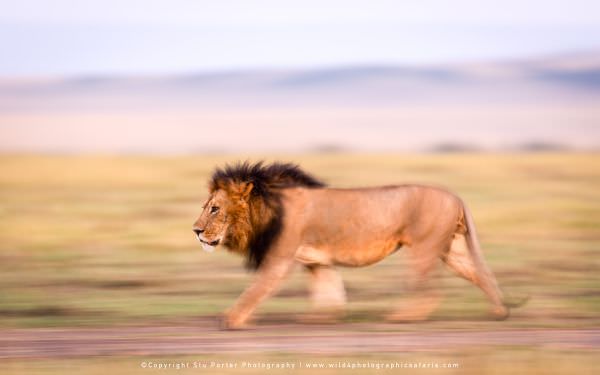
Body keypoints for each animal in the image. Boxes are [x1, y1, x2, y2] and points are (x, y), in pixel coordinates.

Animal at [192, 162, 516, 328]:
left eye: (215, 209)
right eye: (206, 206)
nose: (196, 231)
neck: (268, 206)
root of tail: (456, 196)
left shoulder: (280, 259)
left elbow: (255, 290)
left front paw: (231, 319)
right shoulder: (317, 261)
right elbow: (329, 289)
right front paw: (322, 317)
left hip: (424, 246)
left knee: (429, 289)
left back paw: (404, 316)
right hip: (452, 248)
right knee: (480, 274)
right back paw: (499, 311)